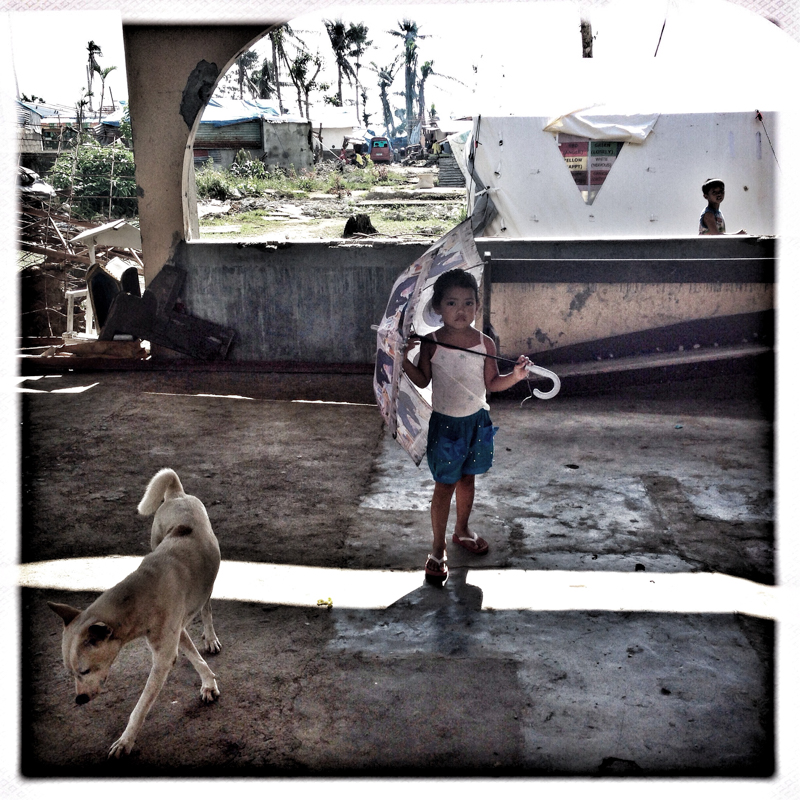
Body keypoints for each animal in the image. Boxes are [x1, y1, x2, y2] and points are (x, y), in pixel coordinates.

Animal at [48, 468, 222, 758]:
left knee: (207, 606)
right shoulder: (173, 633)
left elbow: (140, 707)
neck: (141, 596)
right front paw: (207, 681)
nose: (79, 699)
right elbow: (192, 655)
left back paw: (210, 637)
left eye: (85, 670)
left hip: (206, 584)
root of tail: (177, 494)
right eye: (71, 672)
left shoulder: (163, 657)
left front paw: (126, 740)